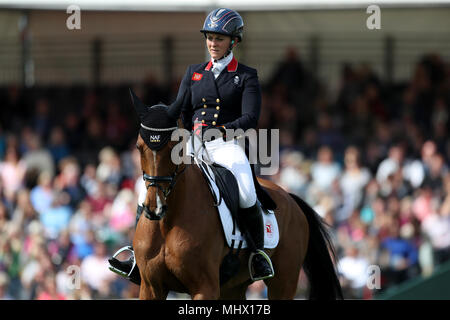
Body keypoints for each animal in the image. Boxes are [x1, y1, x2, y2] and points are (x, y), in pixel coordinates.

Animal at [129, 90, 342, 300]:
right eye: (139, 147)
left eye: (175, 147)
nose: (155, 207)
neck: (169, 221)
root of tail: (291, 199)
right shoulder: (150, 287)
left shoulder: (205, 287)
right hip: (233, 287)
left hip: (284, 281)